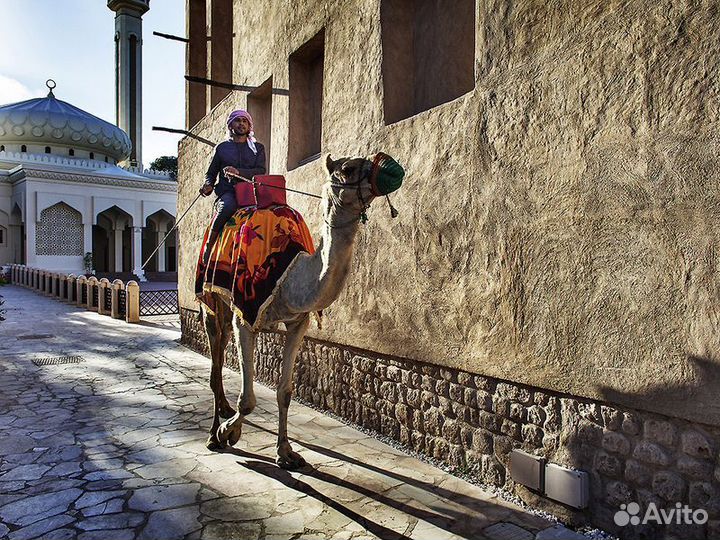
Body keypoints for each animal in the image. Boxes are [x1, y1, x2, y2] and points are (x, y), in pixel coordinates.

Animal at [202, 152, 402, 468]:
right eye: (348, 168)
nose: (393, 169)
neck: (291, 275)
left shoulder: (298, 323)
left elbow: (285, 392)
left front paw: (286, 452)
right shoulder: (245, 316)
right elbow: (247, 399)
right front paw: (226, 433)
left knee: (221, 350)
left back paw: (224, 408)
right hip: (211, 298)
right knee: (215, 358)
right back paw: (213, 431)